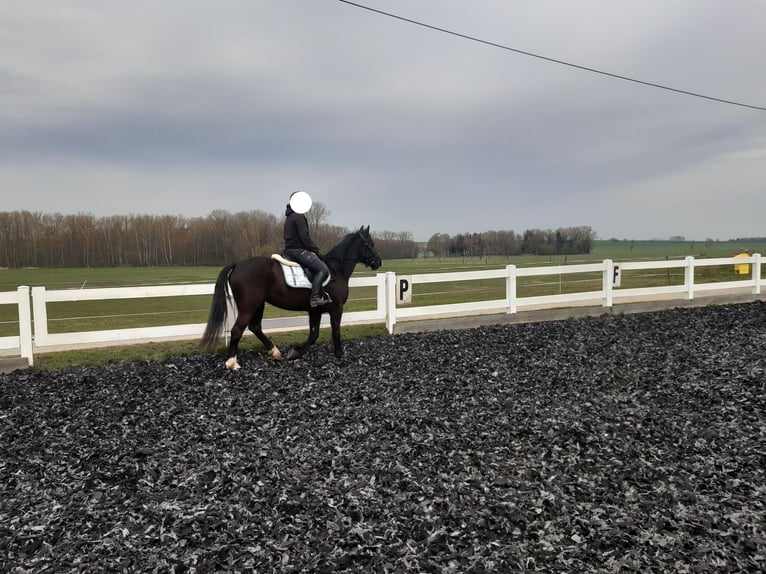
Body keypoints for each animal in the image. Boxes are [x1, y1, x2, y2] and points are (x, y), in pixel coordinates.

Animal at [201, 226, 382, 370]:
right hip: (249, 306)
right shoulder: (336, 308)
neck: (336, 270)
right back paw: (232, 362)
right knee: (237, 330)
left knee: (255, 327)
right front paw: (339, 355)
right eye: (370, 244)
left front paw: (296, 352)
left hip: (259, 304)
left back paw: (275, 352)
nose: (378, 262)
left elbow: (313, 334)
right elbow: (335, 331)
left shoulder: (314, 310)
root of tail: (238, 264)